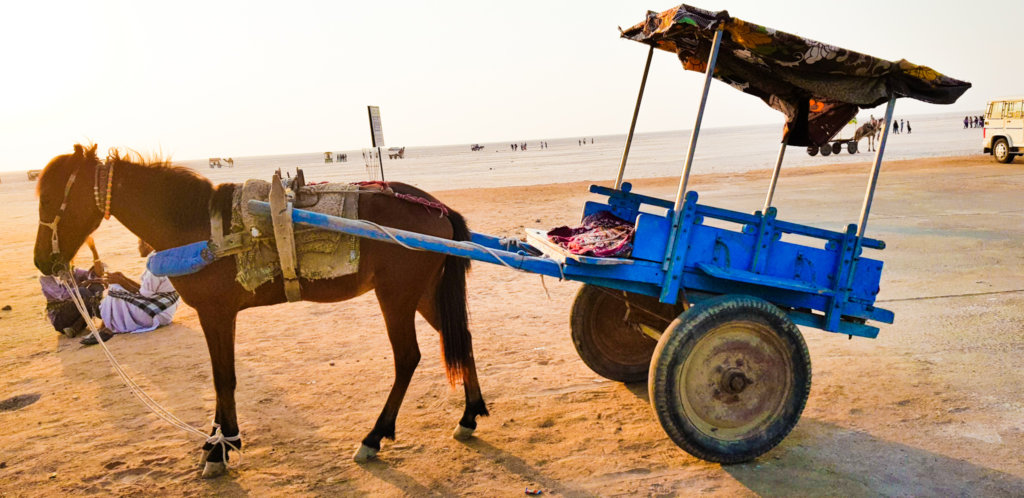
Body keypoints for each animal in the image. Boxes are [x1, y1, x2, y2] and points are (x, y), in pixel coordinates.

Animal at [32, 144, 487, 479]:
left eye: (52, 198)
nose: (41, 261)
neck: (198, 225)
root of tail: (437, 207)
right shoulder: (218, 316)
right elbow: (223, 380)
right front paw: (221, 441)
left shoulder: (215, 314)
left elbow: (224, 379)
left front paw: (220, 448)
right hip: (424, 294)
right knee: (460, 339)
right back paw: (469, 415)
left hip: (397, 295)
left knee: (409, 357)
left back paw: (374, 437)